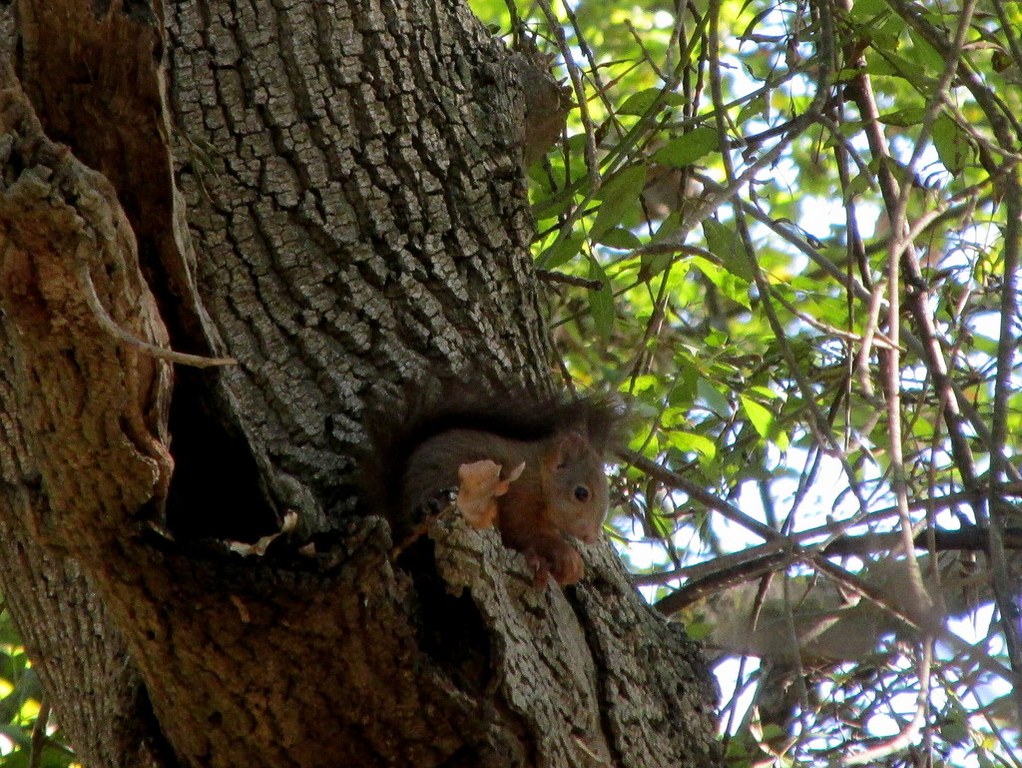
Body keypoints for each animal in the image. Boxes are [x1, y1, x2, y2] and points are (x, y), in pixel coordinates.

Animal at [359, 386, 613, 584]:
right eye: (581, 493)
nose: (590, 537)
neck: (539, 475)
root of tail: (395, 509)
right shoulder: (518, 494)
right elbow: (523, 531)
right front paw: (567, 556)